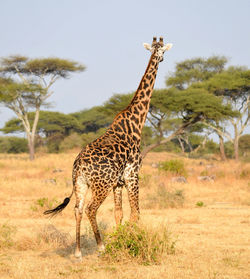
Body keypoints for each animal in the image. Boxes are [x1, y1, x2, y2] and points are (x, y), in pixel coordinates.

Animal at [44, 37, 172, 260]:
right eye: (162, 51)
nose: (161, 58)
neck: (136, 123)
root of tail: (79, 165)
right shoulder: (132, 175)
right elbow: (136, 212)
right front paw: (131, 241)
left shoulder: (118, 183)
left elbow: (119, 213)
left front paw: (121, 241)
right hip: (101, 185)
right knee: (90, 209)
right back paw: (101, 247)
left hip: (81, 184)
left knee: (77, 209)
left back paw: (78, 252)